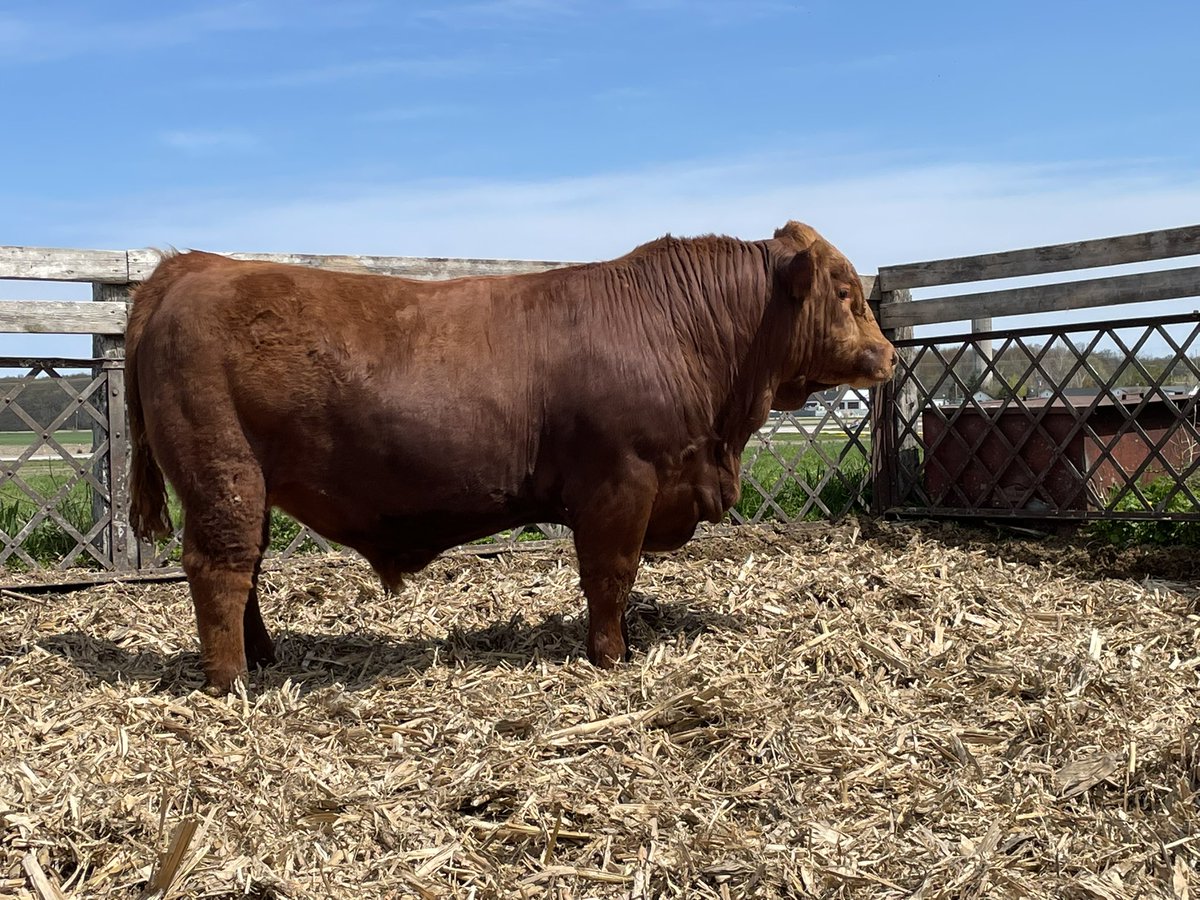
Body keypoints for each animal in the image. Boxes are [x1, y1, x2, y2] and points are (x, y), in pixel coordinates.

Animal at [126, 221, 896, 693]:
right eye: (846, 293)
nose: (888, 353)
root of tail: (194, 268)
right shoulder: (620, 483)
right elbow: (610, 577)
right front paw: (612, 658)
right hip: (222, 473)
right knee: (221, 568)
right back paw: (231, 682)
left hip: (247, 483)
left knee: (247, 568)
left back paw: (263, 657)